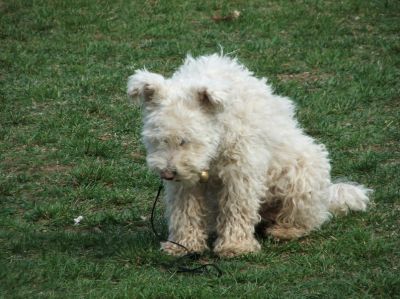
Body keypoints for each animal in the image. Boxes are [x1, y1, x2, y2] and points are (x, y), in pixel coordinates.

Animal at [126, 54, 372, 258]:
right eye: (158, 139)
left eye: (185, 140)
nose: (167, 174)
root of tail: (327, 195)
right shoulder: (187, 183)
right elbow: (185, 212)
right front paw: (183, 245)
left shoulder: (241, 171)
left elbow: (237, 208)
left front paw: (235, 246)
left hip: (301, 174)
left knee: (310, 218)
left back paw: (285, 229)